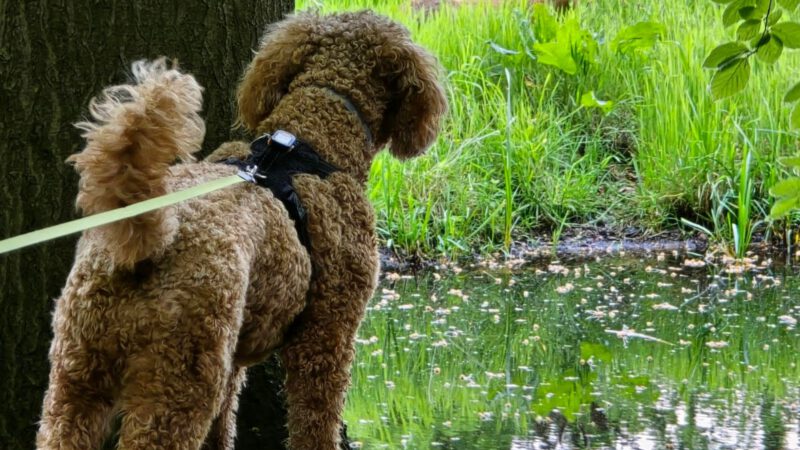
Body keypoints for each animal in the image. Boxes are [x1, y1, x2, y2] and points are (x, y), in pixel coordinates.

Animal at [36, 10, 444, 450]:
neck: (312, 139)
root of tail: (146, 242)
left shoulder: (232, 359)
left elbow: (225, 422)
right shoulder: (326, 338)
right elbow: (315, 422)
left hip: (77, 375)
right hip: (178, 382)